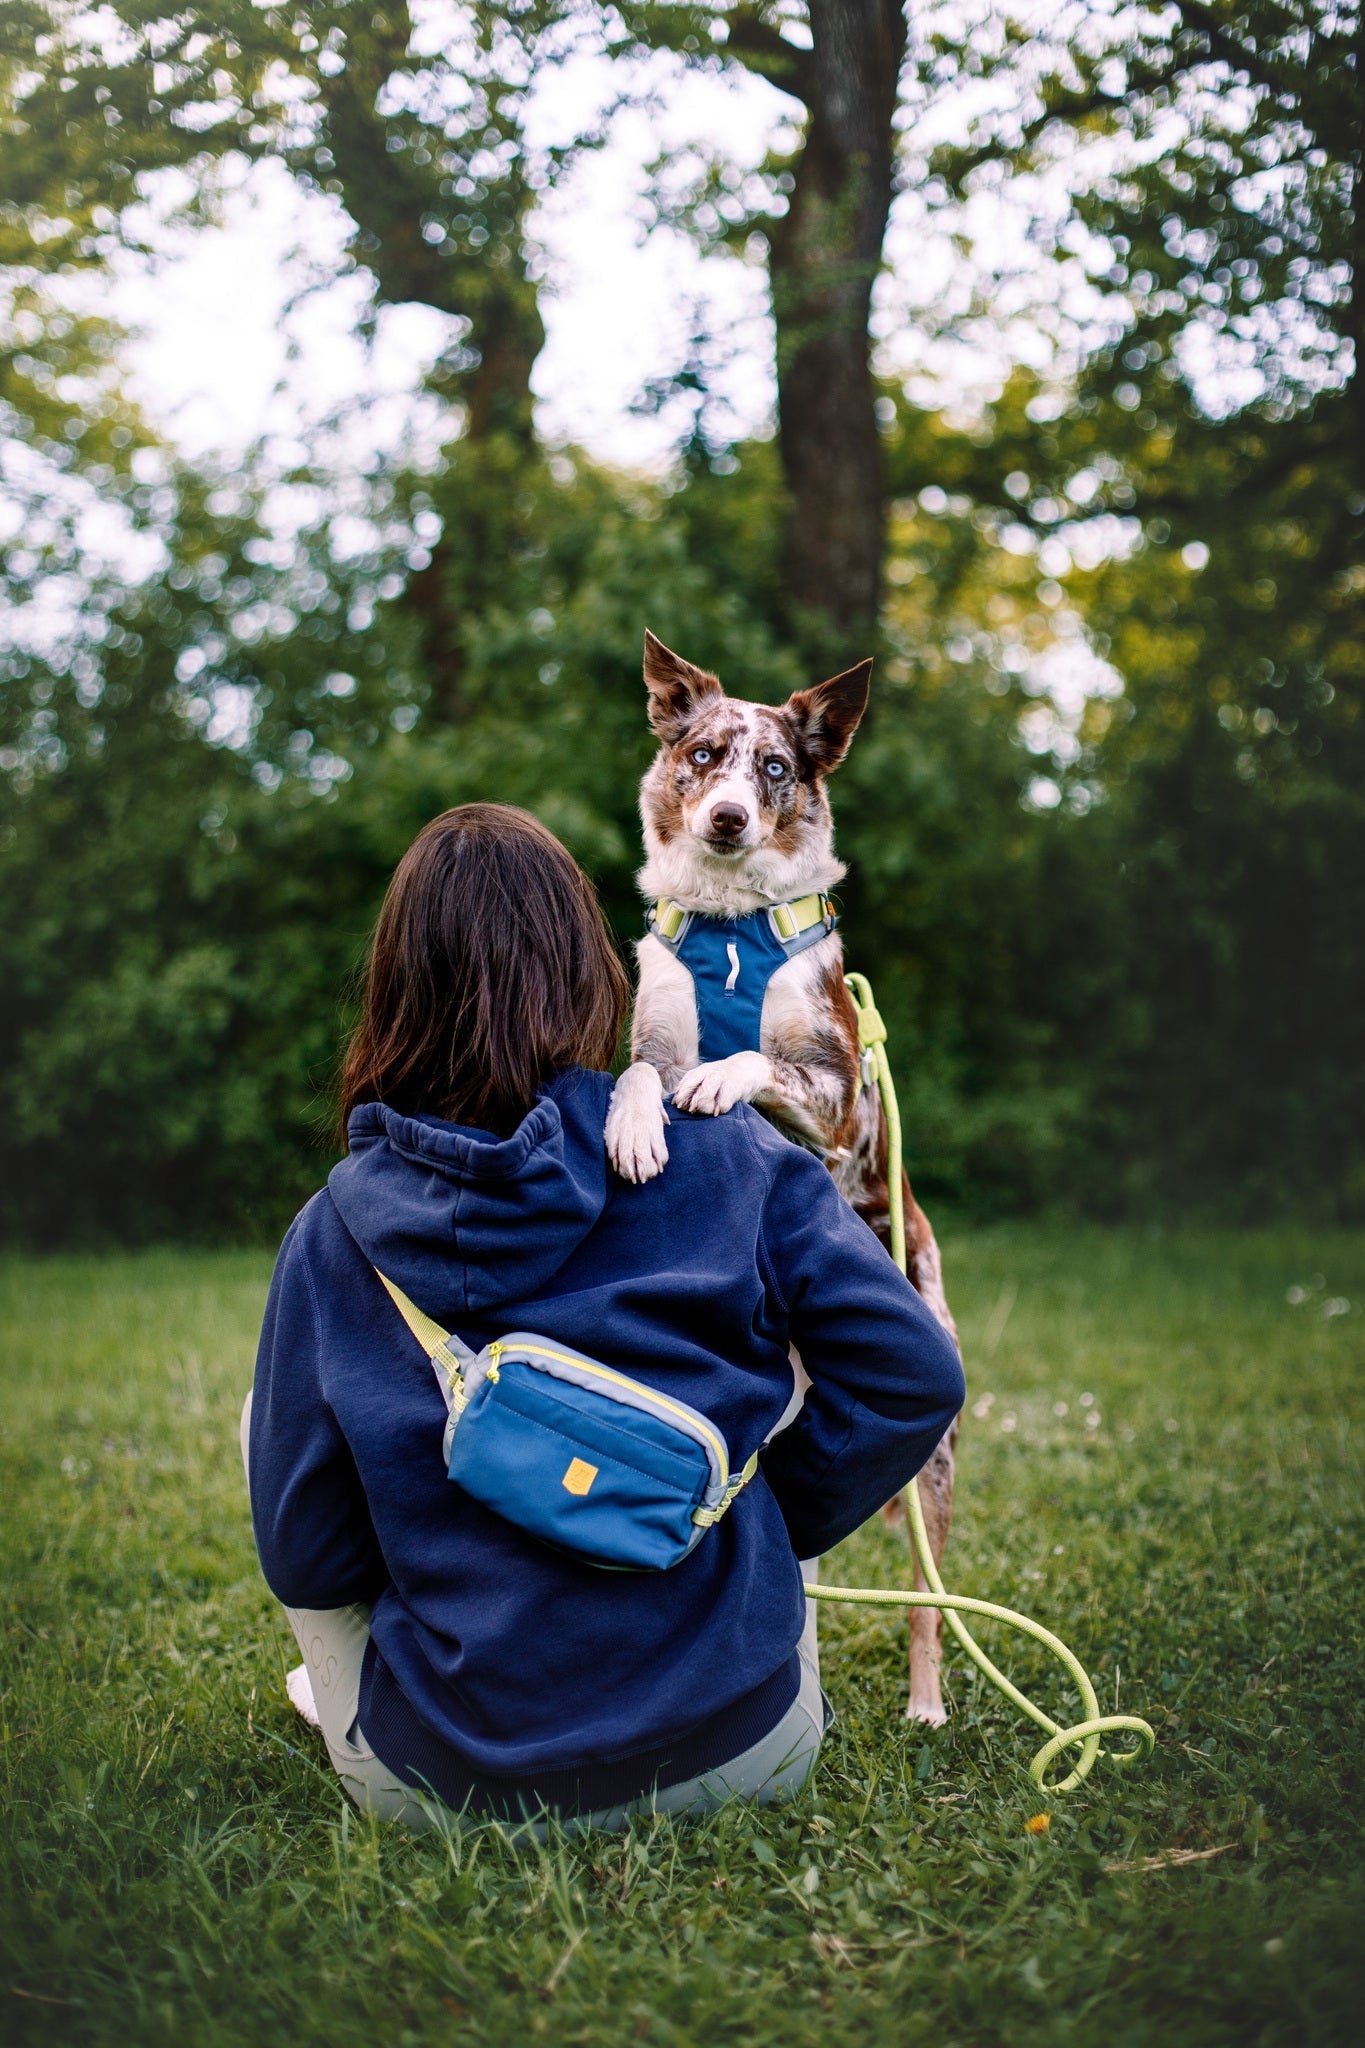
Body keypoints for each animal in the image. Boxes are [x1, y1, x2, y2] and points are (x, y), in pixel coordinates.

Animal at [601, 630, 965, 1720]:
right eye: (705, 754)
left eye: (774, 768)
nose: (727, 815)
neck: (729, 927)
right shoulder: (651, 1031)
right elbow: (642, 1071)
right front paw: (638, 1127)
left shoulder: (841, 1099)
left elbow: (760, 1062)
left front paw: (723, 1076)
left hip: (932, 1458)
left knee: (929, 1599)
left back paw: (926, 1702)